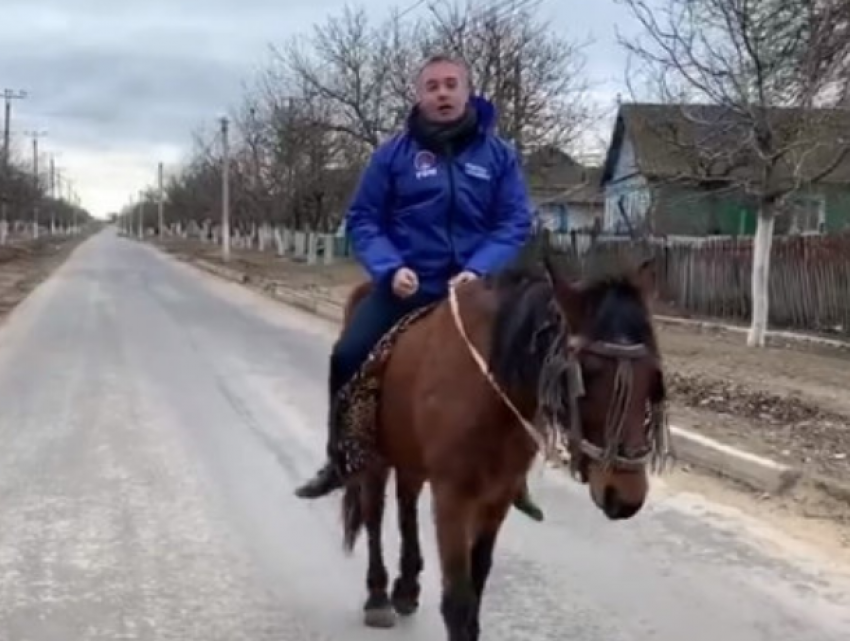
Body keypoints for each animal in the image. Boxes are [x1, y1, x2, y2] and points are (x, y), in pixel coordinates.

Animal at [334, 255, 664, 640]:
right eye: (590, 373)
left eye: (652, 377)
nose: (626, 496)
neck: (489, 391)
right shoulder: (452, 498)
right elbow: (457, 602)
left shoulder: (497, 497)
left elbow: (477, 583)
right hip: (375, 456)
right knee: (373, 514)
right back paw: (378, 596)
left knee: (406, 502)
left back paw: (406, 587)